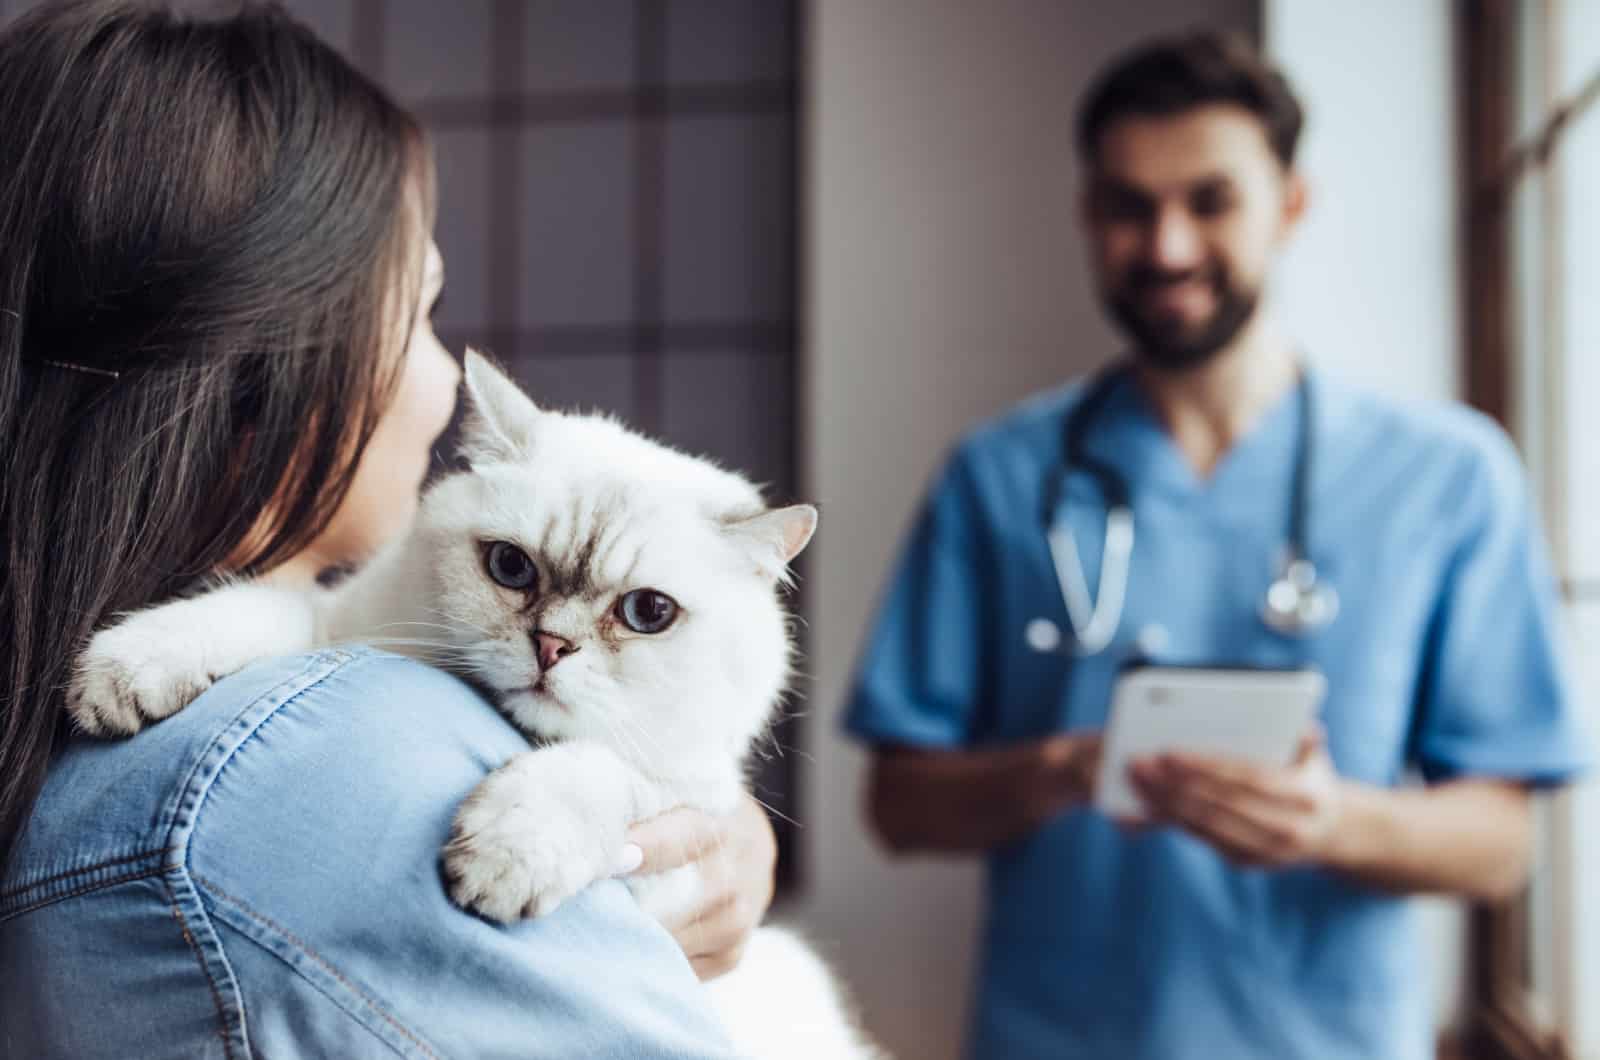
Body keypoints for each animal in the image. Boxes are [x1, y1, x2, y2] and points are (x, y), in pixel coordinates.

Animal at [68, 350, 883, 1060]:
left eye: (648, 613)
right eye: (510, 567)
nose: (552, 646)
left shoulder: (681, 812)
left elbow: (592, 773)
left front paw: (502, 856)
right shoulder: (348, 627)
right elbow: (260, 609)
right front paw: (123, 673)